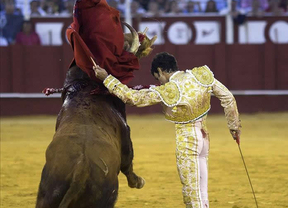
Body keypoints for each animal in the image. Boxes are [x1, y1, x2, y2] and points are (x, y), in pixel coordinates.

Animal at [36, 65, 144, 208]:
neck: (84, 93)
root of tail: (81, 169)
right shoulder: (126, 135)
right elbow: (127, 164)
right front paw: (138, 181)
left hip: (48, 195)